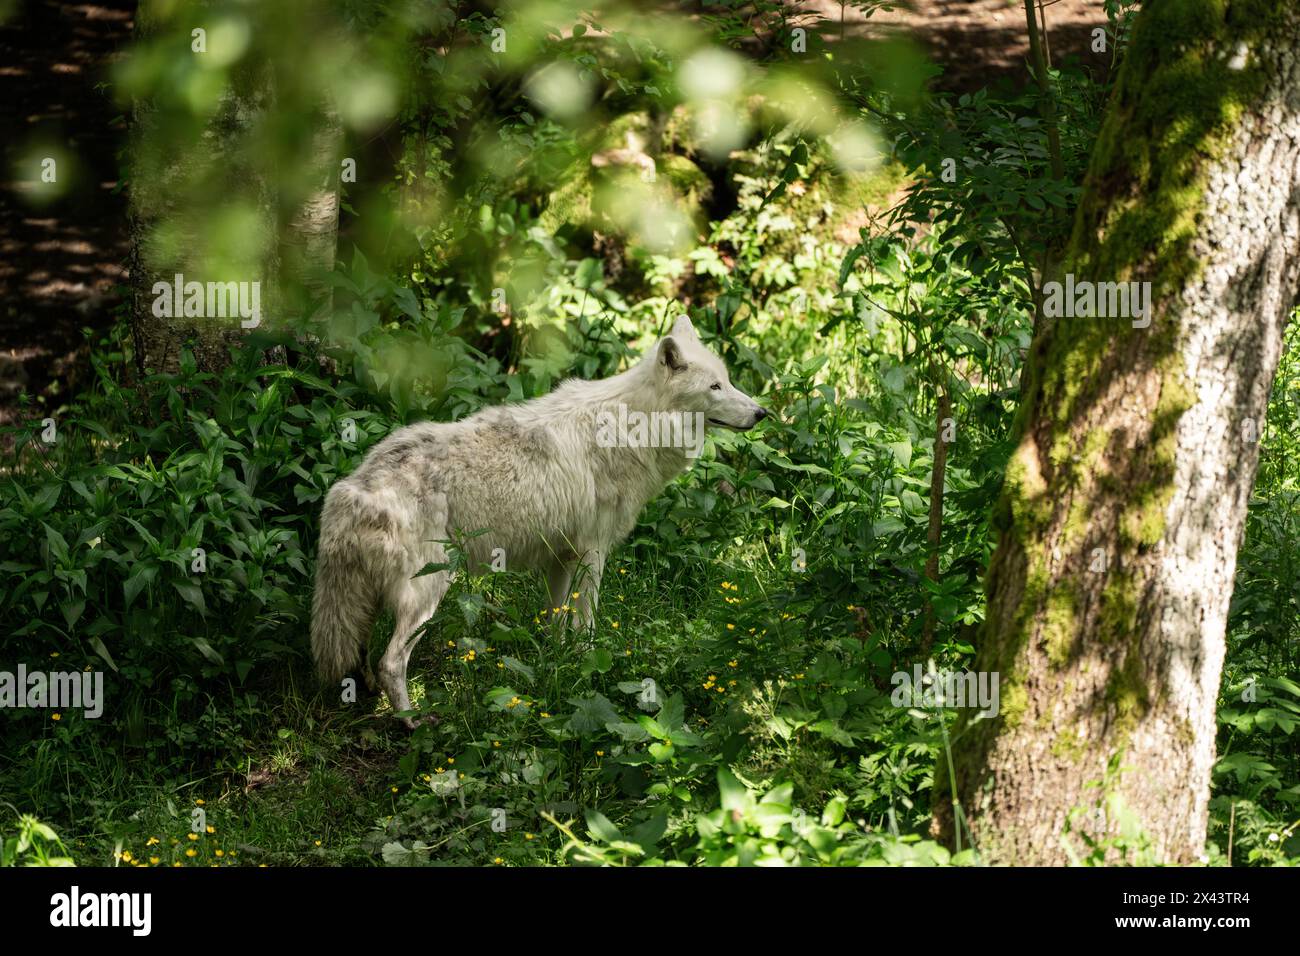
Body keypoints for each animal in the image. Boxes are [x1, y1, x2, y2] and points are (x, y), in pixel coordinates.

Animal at [310, 314, 764, 723]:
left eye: (728, 380)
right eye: (715, 387)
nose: (761, 413)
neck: (636, 423)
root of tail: (353, 489)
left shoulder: (560, 556)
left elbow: (554, 623)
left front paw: (555, 665)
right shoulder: (592, 552)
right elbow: (585, 626)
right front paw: (586, 667)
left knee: (362, 655)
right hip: (429, 591)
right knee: (391, 662)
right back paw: (412, 721)